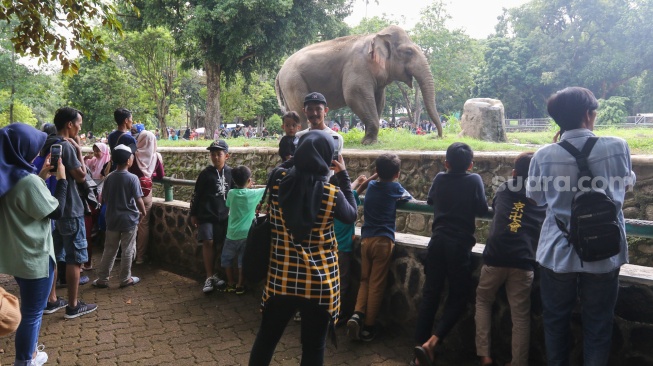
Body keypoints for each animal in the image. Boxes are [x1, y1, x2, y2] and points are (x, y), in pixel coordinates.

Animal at [276, 24, 444, 144]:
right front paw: (369, 143)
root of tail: (279, 72)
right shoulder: (358, 66)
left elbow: (379, 101)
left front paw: (370, 140)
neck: (377, 35)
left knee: (292, 112)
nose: (436, 137)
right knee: (301, 111)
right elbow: (354, 95)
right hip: (293, 81)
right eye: (409, 52)